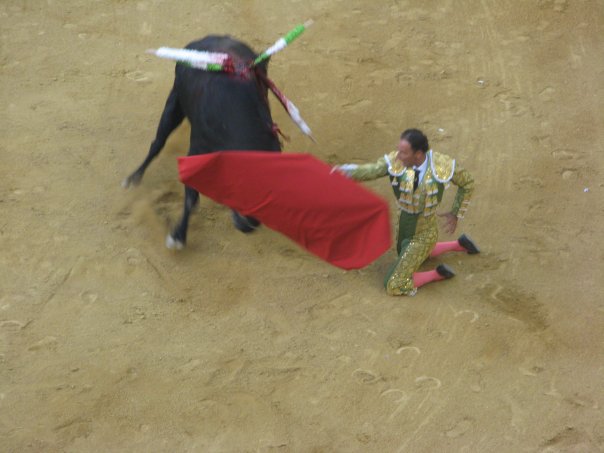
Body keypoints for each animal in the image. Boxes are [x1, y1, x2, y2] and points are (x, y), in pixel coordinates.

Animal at [124, 35, 284, 247]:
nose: (247, 225)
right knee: (158, 142)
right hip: (174, 101)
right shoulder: (197, 150)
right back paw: (133, 178)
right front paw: (177, 236)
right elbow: (191, 196)